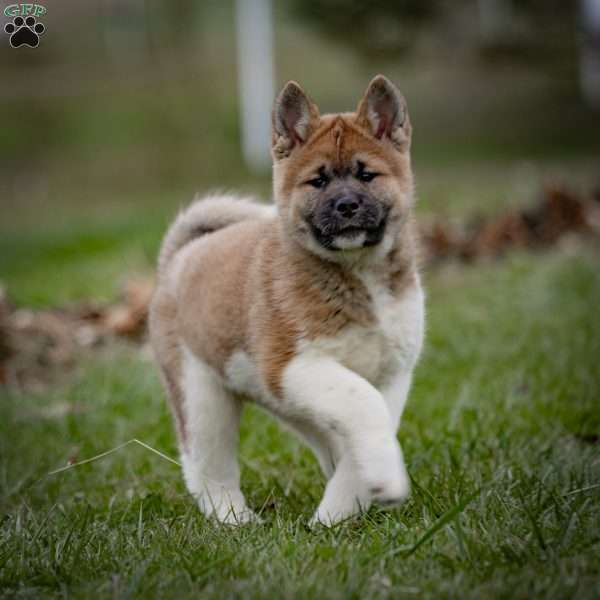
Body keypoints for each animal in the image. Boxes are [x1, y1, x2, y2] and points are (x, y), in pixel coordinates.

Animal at [148, 75, 424, 524]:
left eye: (366, 175)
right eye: (319, 181)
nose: (347, 205)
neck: (358, 275)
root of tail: (178, 256)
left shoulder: (392, 374)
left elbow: (367, 427)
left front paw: (341, 508)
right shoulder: (292, 365)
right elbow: (364, 405)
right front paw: (370, 492)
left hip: (284, 402)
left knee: (324, 439)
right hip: (204, 399)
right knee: (206, 469)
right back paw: (235, 520)